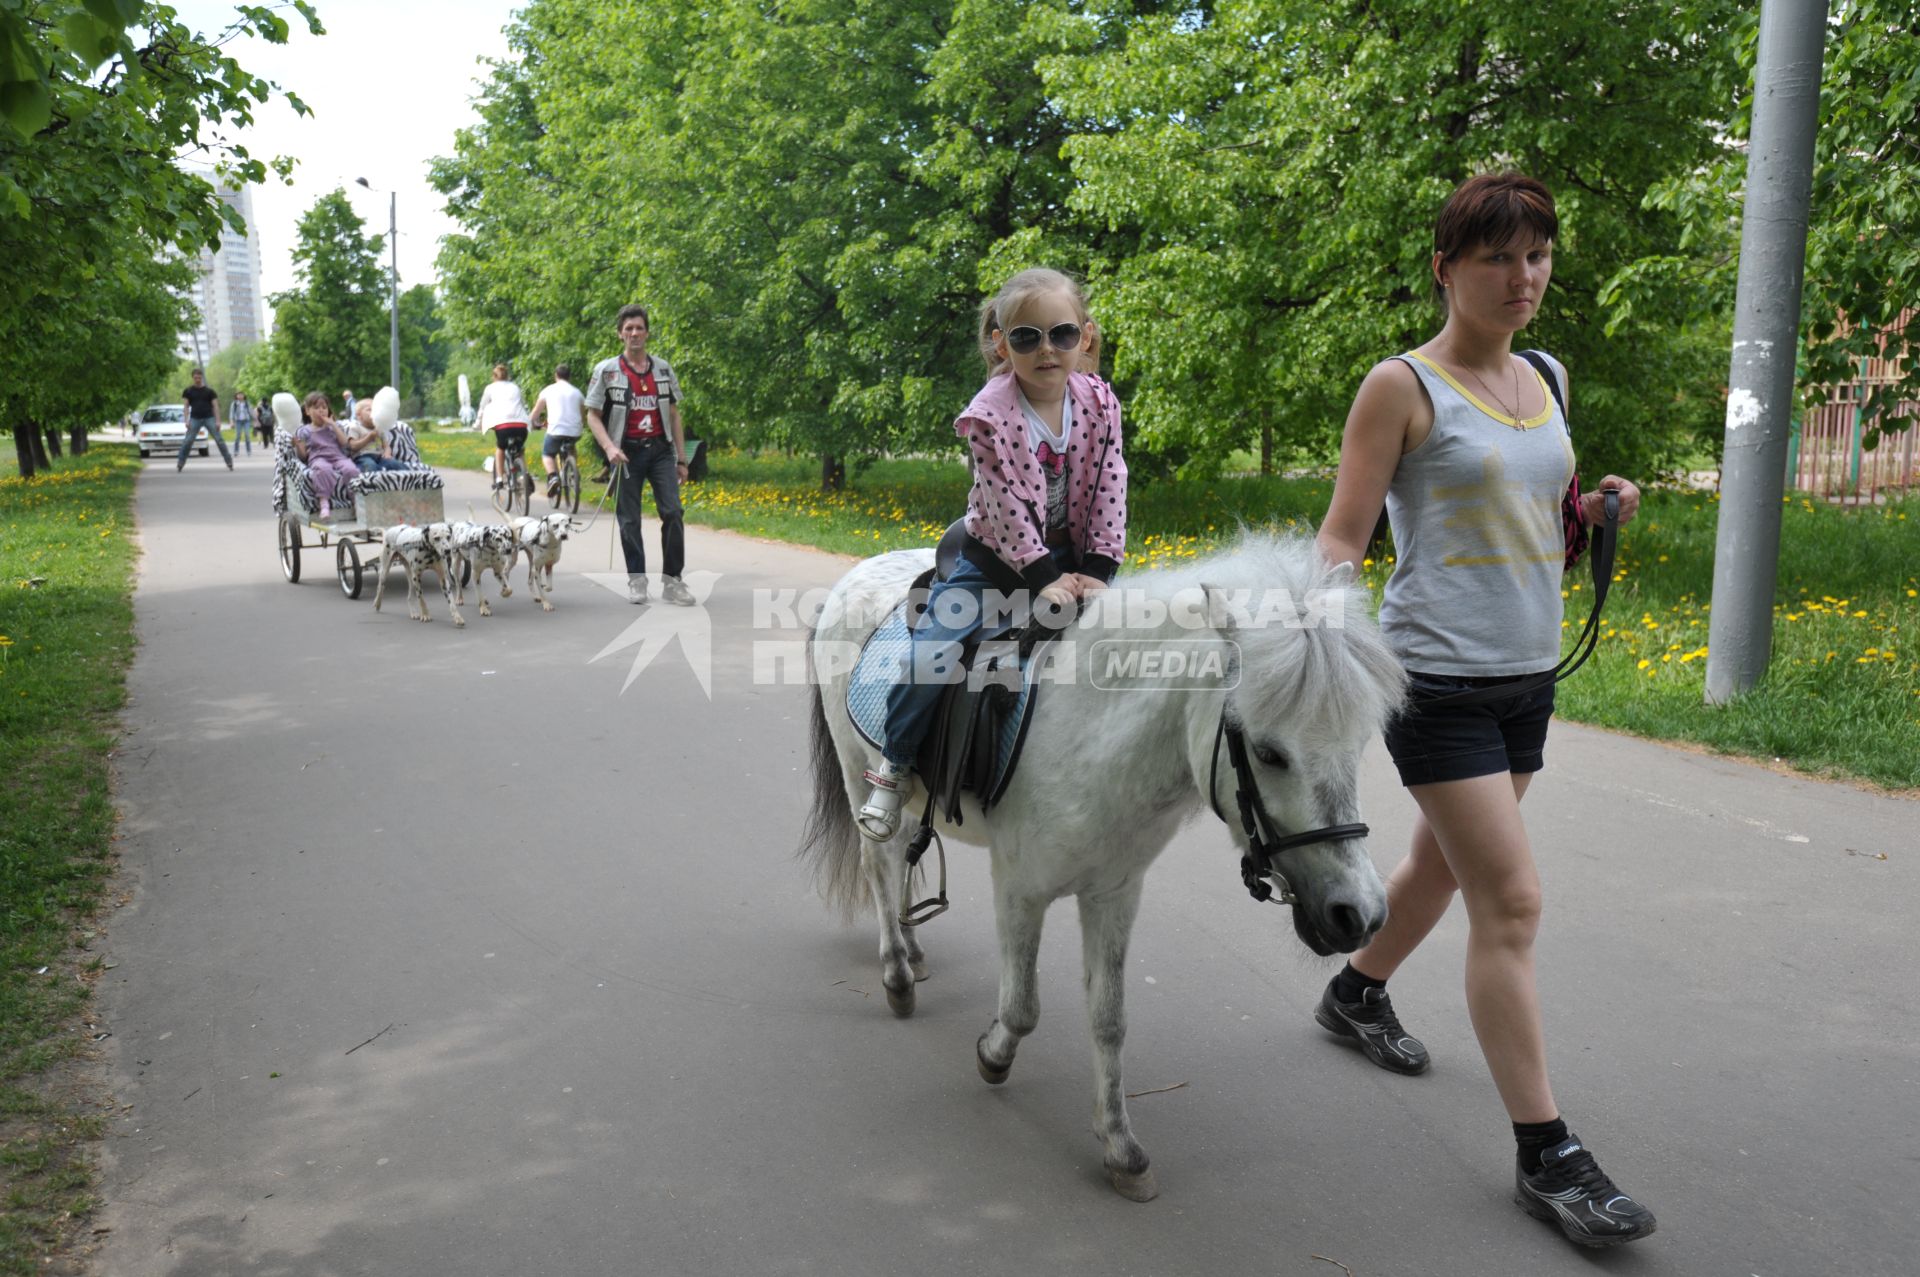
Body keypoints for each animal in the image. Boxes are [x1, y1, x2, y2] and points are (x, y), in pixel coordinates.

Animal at [798, 533, 1413, 1198]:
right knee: (878, 862)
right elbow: (1023, 1007)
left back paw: (912, 951)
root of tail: (861, 570)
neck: (1093, 737)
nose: (1359, 914)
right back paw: (896, 974)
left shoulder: (1114, 895)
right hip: (859, 772)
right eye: (1269, 753)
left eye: (1359, 745)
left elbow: (1110, 1019)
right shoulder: (1019, 889)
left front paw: (1121, 1148)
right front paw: (994, 1056)